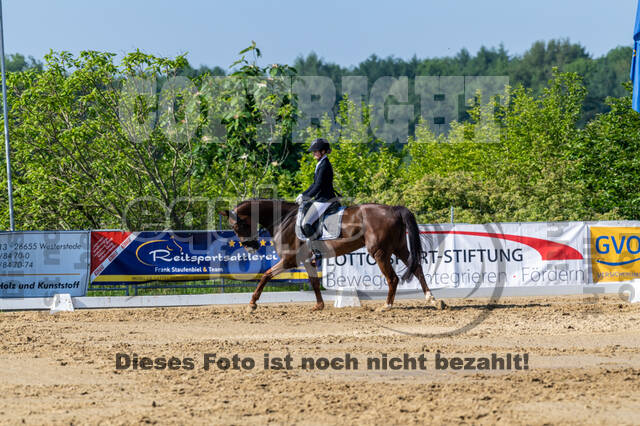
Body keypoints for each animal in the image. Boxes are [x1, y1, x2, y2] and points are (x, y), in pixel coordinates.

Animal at [221, 199, 443, 312]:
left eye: (237, 226)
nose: (251, 247)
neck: (283, 219)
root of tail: (393, 209)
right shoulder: (306, 260)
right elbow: (313, 282)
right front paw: (319, 306)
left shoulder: (289, 260)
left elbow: (266, 275)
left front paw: (252, 303)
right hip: (398, 247)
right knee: (417, 268)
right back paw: (433, 300)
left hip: (379, 252)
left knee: (393, 278)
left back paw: (387, 306)